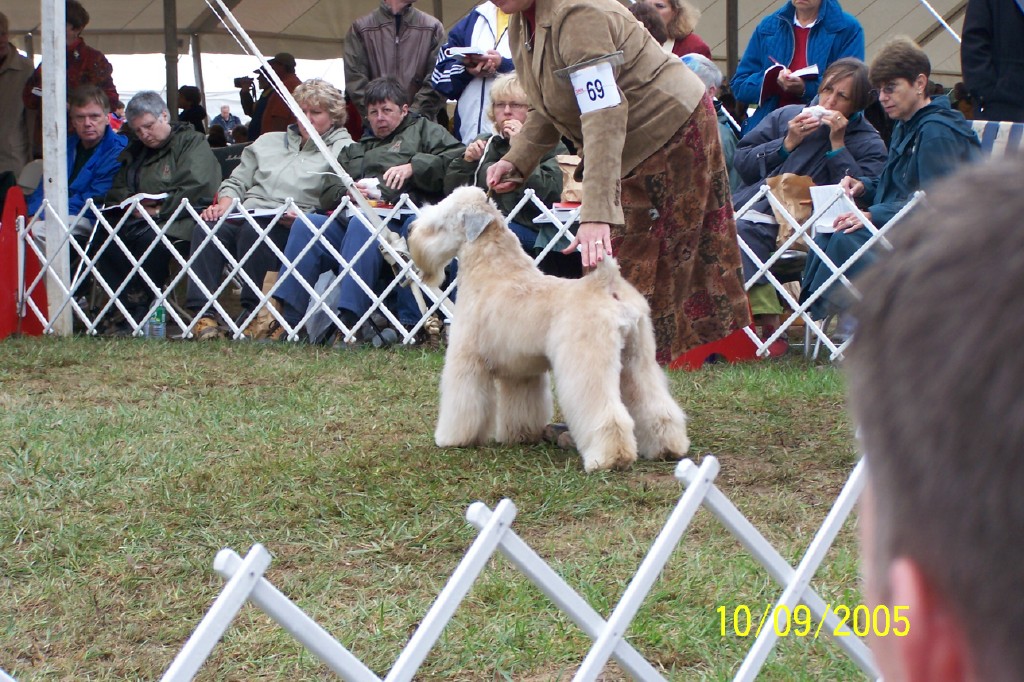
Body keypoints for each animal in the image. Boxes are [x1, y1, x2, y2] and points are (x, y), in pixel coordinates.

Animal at [405, 186, 688, 473]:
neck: (493, 269)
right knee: (655, 405)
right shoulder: (521, 369)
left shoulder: (467, 360)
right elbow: (522, 405)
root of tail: (608, 284)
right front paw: (520, 435)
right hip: (637, 361)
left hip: (588, 366)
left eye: (440, 223)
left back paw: (610, 457)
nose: (410, 232)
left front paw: (452, 438)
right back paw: (667, 447)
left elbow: (463, 402)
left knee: (605, 411)